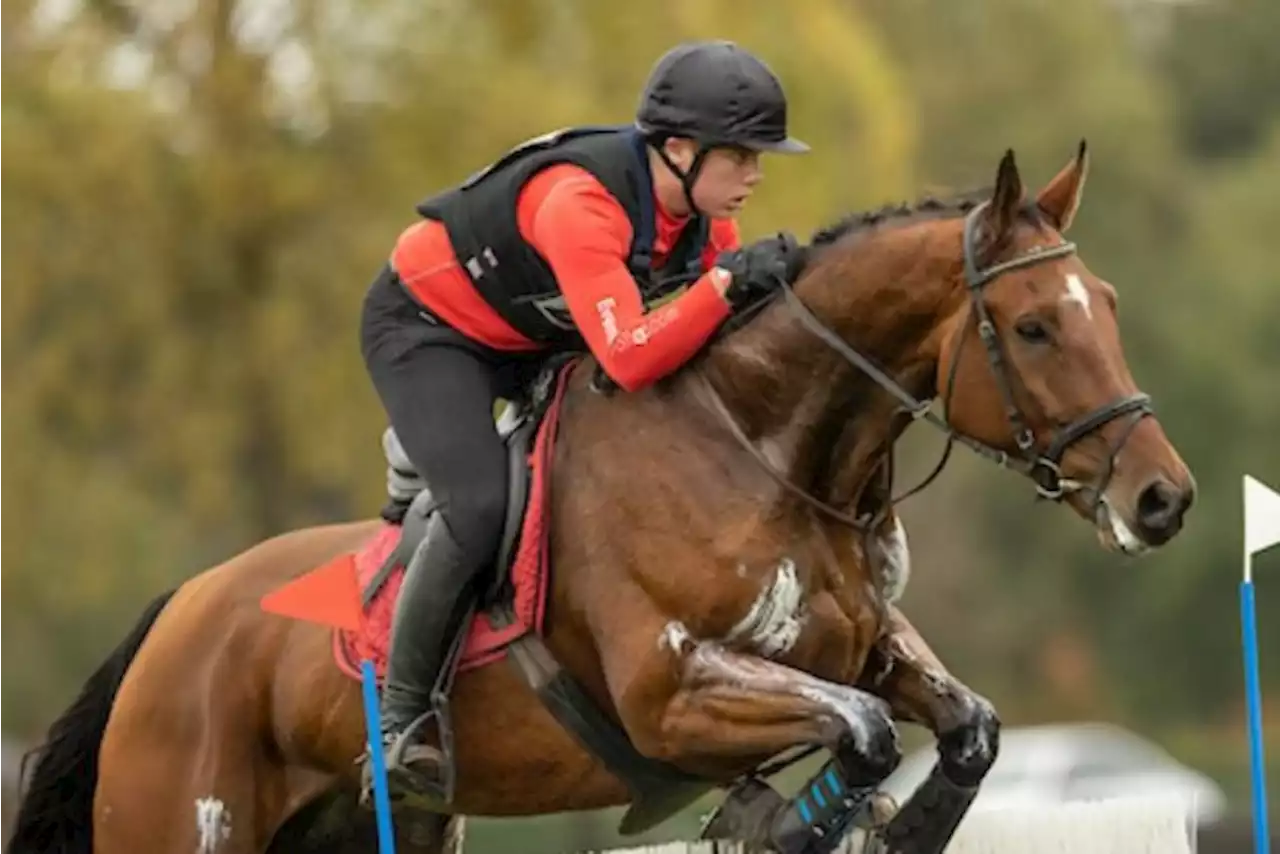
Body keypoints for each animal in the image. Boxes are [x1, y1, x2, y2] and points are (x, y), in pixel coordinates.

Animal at [7, 140, 1198, 854]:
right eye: (1034, 327)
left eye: (1105, 304)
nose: (1162, 499)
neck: (768, 449)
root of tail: (177, 616)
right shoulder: (669, 687)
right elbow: (859, 731)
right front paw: (779, 820)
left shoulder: (864, 646)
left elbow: (967, 727)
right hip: (182, 820)